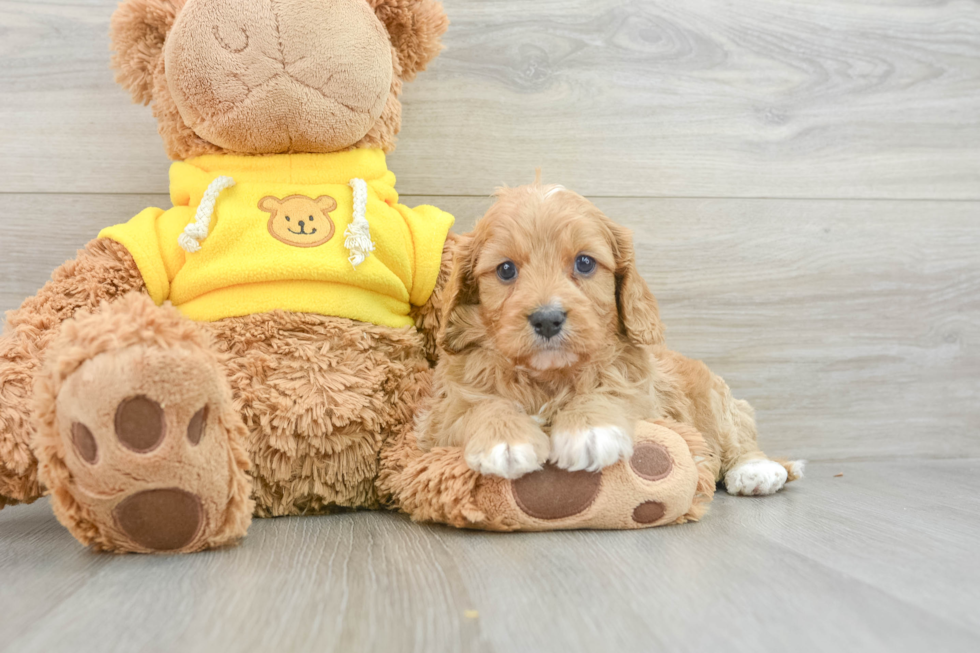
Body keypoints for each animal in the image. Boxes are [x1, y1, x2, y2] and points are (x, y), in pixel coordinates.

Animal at [422, 178, 804, 494]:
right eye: (505, 269)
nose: (547, 319)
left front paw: (590, 428)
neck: (549, 377)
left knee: (737, 436)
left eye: (585, 263)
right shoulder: (442, 416)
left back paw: (755, 470)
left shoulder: (644, 396)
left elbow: (613, 392)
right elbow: (477, 407)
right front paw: (504, 439)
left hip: (714, 398)